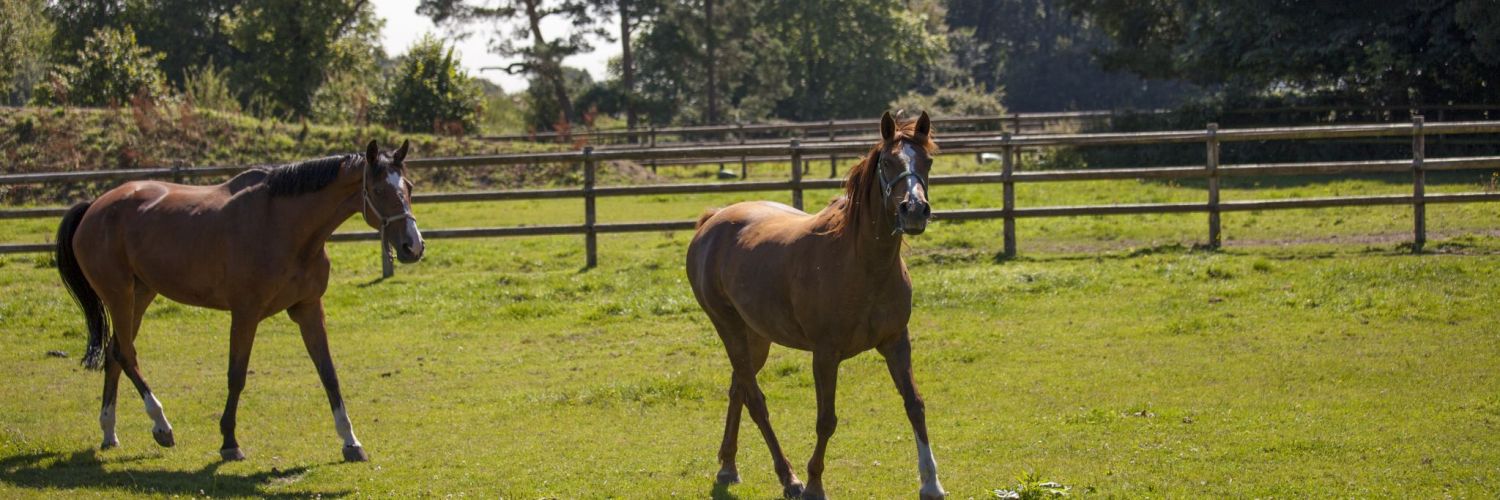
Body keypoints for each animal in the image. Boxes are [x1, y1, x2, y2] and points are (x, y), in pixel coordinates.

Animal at [55, 138, 426, 459]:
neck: (284, 227)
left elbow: (329, 374)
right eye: (378, 190)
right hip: (118, 294)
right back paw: (161, 425)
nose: (413, 246)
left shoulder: (308, 309)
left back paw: (109, 432)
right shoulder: (245, 314)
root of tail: (94, 207)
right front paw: (229, 442)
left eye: (408, 188)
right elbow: (237, 376)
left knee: (115, 353)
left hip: (141, 294)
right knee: (126, 354)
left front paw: (351, 442)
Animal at [687, 111, 942, 495]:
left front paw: (931, 483)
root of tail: (711, 222)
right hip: (728, 328)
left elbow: (915, 404)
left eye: (927, 161)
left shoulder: (896, 341)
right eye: (887, 162)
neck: (862, 264)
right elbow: (826, 420)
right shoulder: (825, 354)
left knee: (738, 389)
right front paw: (813, 485)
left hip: (756, 336)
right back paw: (788, 478)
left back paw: (728, 467)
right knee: (756, 401)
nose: (914, 210)